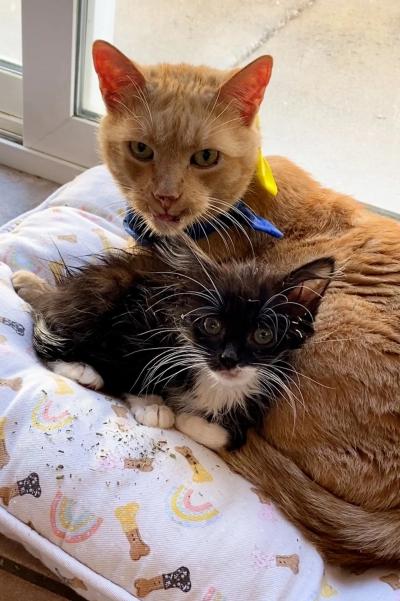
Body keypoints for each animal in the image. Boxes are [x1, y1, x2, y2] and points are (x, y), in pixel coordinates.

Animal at [14, 241, 332, 448]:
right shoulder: (143, 320)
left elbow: (226, 437)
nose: (228, 359)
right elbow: (134, 363)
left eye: (263, 335)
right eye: (212, 326)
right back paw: (79, 367)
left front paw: (190, 420)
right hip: (109, 288)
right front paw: (154, 405)